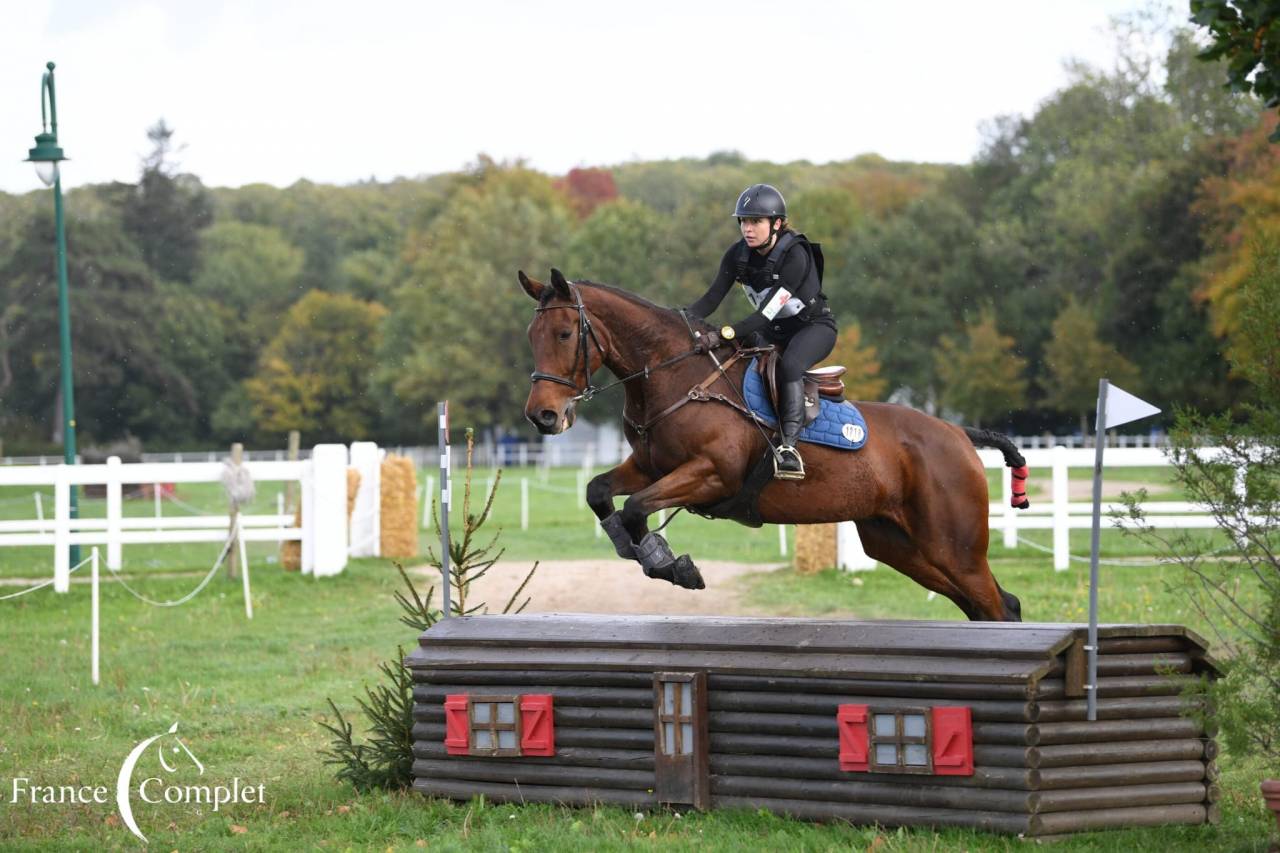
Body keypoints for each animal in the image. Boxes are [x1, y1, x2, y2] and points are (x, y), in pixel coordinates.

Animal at [519, 268, 1028, 622]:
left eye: (564, 334)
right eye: (532, 336)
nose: (542, 415)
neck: (674, 376)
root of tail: (958, 434)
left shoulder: (710, 475)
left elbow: (638, 507)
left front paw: (668, 564)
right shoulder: (649, 467)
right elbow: (601, 492)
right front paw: (637, 550)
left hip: (953, 548)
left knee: (998, 606)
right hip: (901, 546)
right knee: (991, 606)